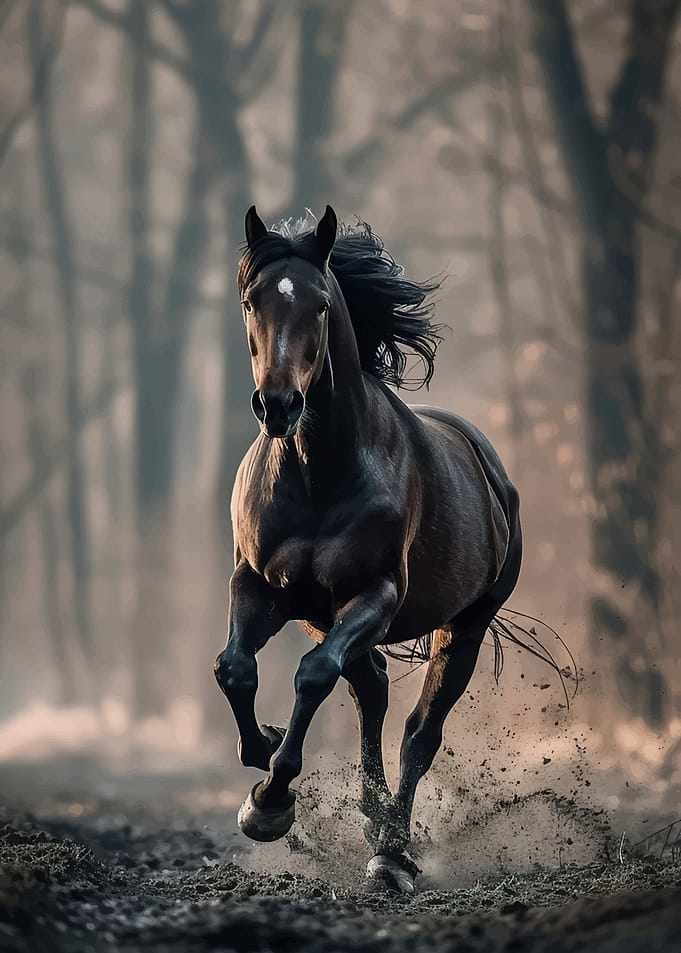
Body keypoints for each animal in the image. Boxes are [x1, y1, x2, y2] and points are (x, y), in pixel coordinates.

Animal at [214, 205, 522, 893]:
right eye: (250, 300)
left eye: (322, 304)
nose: (278, 405)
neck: (318, 473)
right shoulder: (259, 585)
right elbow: (236, 668)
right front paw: (261, 757)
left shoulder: (373, 595)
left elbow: (312, 676)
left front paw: (272, 801)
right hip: (322, 615)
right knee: (372, 690)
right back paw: (373, 816)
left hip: (464, 623)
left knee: (418, 733)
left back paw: (392, 851)